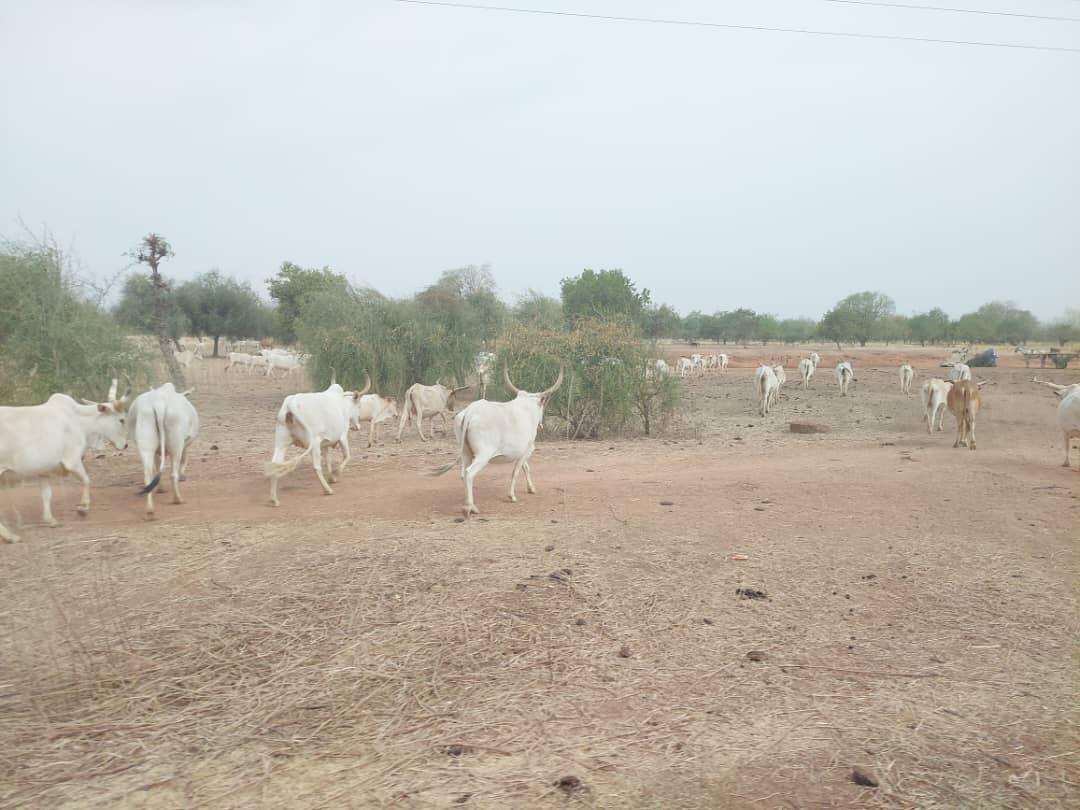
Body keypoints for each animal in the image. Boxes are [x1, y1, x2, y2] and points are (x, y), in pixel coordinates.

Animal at [0, 388, 130, 546]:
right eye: (121, 420)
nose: (125, 445)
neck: (79, 421)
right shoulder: (72, 461)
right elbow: (87, 480)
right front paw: (83, 508)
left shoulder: (43, 470)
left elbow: (46, 495)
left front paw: (50, 520)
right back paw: (10, 536)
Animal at [429, 369, 565, 520]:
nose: (541, 422)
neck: (526, 407)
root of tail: (470, 413)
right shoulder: (528, 449)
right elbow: (516, 471)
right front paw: (512, 496)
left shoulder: (520, 452)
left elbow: (525, 467)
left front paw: (531, 488)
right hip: (483, 456)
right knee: (469, 473)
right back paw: (470, 508)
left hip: (466, 453)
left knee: (464, 474)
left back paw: (468, 502)